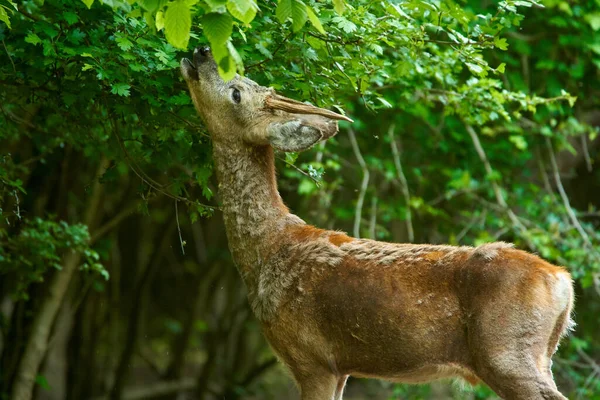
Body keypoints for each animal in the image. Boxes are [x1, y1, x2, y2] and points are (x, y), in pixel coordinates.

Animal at [179, 47, 576, 400]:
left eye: (236, 92)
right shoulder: (341, 368)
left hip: (506, 353)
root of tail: (563, 282)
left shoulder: (313, 359)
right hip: (539, 354)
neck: (268, 250)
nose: (200, 51)